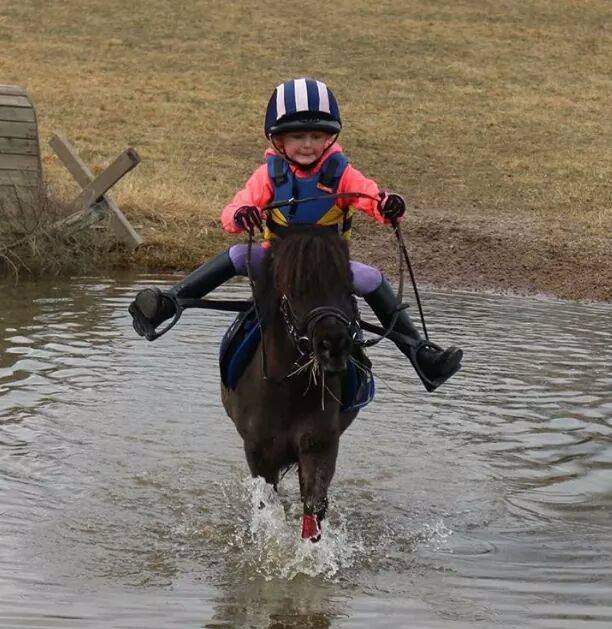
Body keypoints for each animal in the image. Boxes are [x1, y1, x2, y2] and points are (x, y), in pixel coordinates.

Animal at [222, 224, 360, 540]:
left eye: (348, 287)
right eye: (296, 290)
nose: (334, 345)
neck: (287, 391)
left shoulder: (319, 446)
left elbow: (314, 510)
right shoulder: (258, 452)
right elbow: (268, 507)